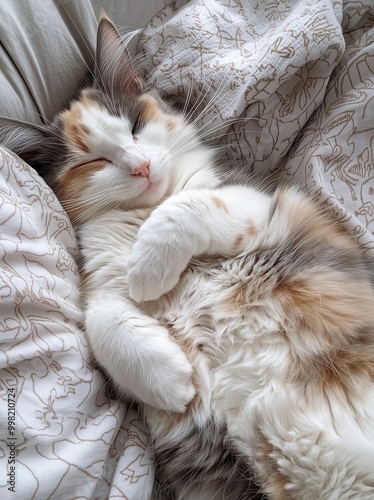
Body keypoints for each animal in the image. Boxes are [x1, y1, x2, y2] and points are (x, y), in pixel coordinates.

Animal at [2, 13, 374, 498]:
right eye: (92, 163)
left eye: (135, 124)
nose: (140, 166)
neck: (143, 212)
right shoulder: (100, 277)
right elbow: (98, 315)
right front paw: (171, 382)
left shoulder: (257, 203)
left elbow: (188, 205)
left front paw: (147, 268)